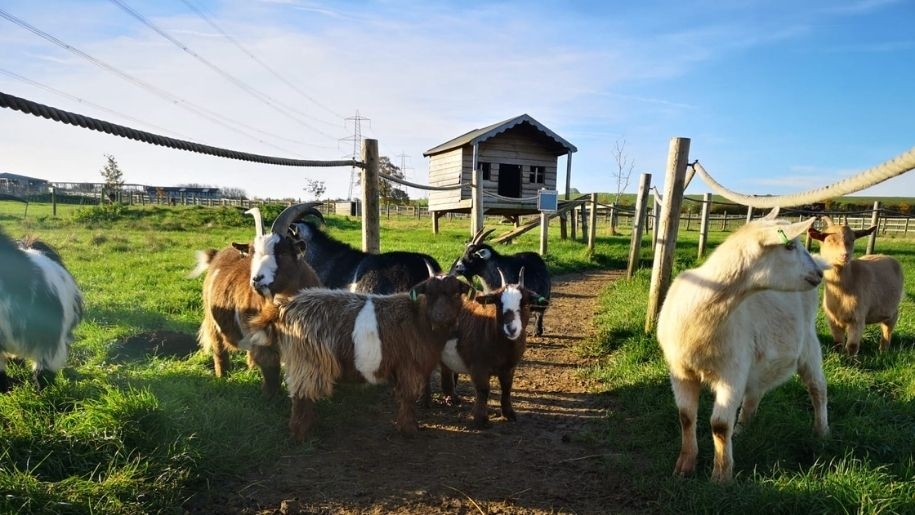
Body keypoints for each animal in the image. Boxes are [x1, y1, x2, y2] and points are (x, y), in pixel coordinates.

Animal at [190, 204, 322, 398]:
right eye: (252, 255)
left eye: (281, 252)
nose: (257, 280)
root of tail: (216, 255)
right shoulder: (264, 340)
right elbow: (271, 370)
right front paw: (270, 396)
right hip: (212, 321)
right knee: (219, 349)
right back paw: (223, 376)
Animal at [242, 274, 472, 444]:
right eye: (429, 293)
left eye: (455, 293)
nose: (441, 316)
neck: (419, 319)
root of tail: (285, 307)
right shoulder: (409, 368)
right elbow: (407, 398)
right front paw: (410, 430)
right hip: (309, 363)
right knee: (301, 397)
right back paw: (302, 435)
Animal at [434, 268, 536, 430]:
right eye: (499, 305)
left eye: (525, 304)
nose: (511, 329)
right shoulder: (478, 367)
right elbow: (483, 390)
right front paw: (481, 420)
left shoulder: (509, 367)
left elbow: (506, 389)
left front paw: (509, 414)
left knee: (446, 370)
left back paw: (451, 398)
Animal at [660, 214, 832, 484]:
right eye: (789, 246)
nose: (818, 273)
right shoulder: (680, 370)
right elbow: (686, 417)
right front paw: (684, 466)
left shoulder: (732, 370)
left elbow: (719, 425)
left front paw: (721, 476)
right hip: (760, 360)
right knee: (755, 392)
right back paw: (741, 430)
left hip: (809, 346)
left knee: (818, 389)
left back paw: (821, 431)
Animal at [808, 216, 900, 356]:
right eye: (828, 240)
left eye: (852, 239)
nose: (845, 255)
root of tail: (887, 256)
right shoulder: (832, 319)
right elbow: (837, 342)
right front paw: (839, 356)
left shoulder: (858, 318)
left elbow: (852, 345)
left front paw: (851, 359)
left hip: (893, 309)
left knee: (888, 327)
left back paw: (883, 351)